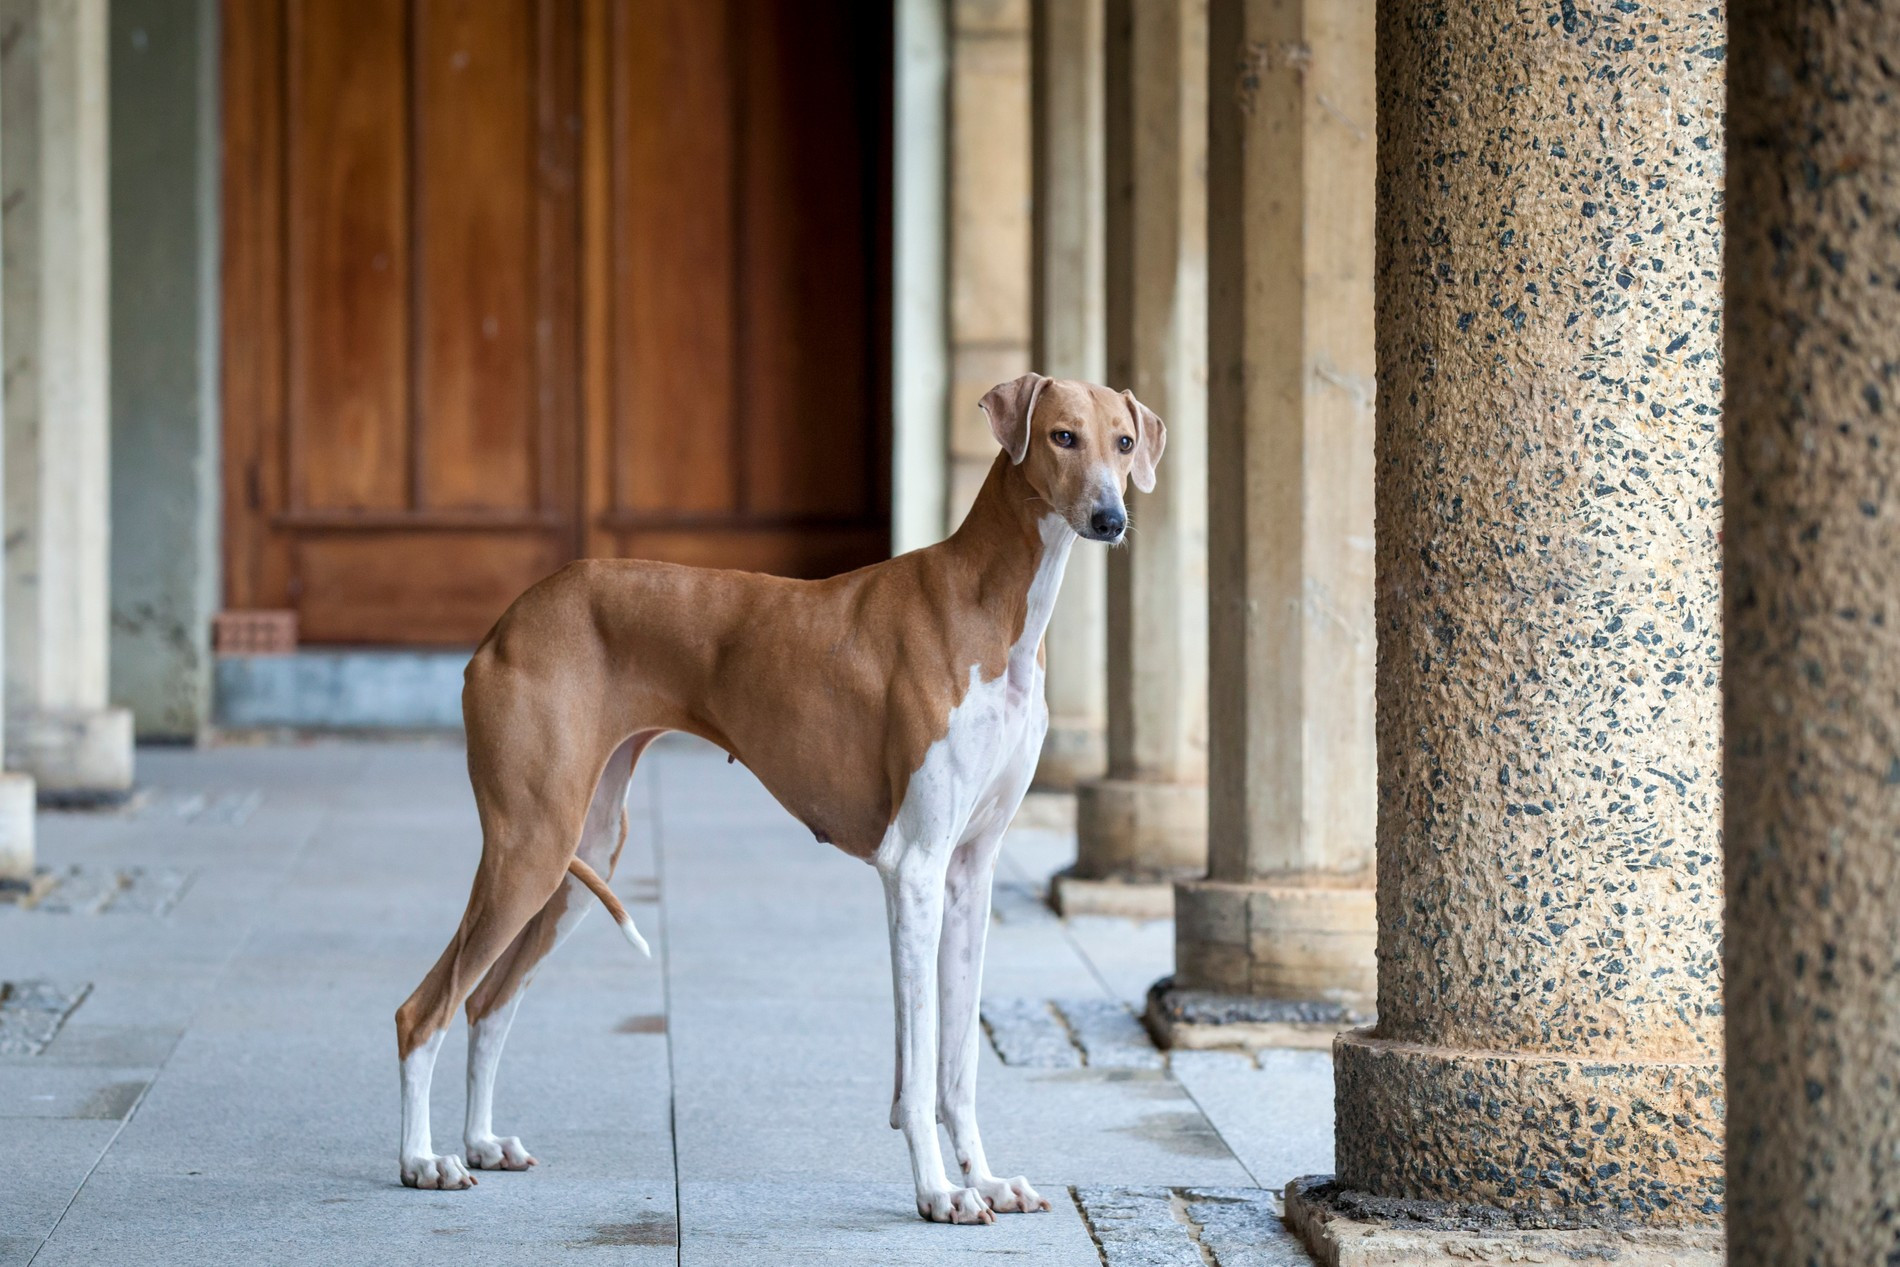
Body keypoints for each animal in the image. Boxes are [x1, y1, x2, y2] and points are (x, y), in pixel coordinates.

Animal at [397, 372, 1155, 1223]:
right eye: (1062, 436)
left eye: (1123, 442)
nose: (1110, 518)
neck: (991, 606)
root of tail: (508, 619)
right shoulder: (915, 867)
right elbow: (922, 1062)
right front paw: (939, 1191)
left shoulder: (969, 873)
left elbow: (955, 1062)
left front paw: (984, 1179)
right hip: (530, 848)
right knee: (424, 1008)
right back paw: (422, 1159)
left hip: (579, 856)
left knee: (488, 1000)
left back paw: (480, 1143)